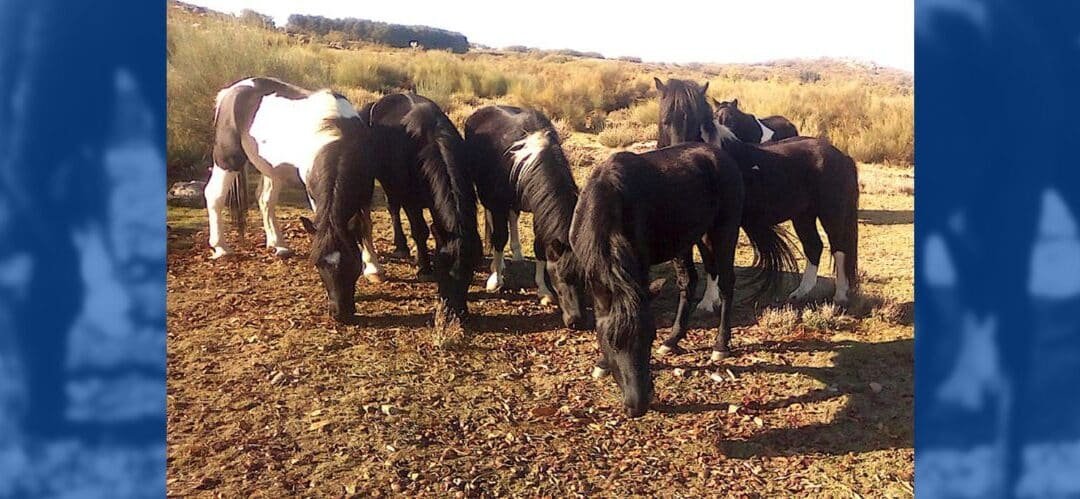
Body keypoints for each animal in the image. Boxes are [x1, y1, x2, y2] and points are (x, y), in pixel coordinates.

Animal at [207, 76, 382, 322]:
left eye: (352, 262)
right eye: (318, 265)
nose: (340, 313)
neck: (339, 137)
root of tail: (229, 92)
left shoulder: (366, 191)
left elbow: (365, 226)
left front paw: (373, 267)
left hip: (271, 169)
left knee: (265, 201)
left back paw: (278, 245)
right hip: (228, 160)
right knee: (214, 196)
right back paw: (221, 248)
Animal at [365, 93, 482, 315]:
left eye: (470, 270)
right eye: (442, 269)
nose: (455, 312)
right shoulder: (411, 202)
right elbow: (420, 231)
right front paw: (424, 268)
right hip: (388, 183)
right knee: (393, 208)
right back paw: (401, 245)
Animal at [463, 105, 589, 329]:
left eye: (584, 279)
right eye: (560, 275)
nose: (576, 320)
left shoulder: (539, 209)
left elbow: (539, 247)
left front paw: (544, 291)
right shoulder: (497, 202)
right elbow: (499, 238)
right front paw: (496, 280)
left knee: (513, 217)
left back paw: (517, 253)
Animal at [570, 142, 787, 417]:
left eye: (650, 337)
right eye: (612, 341)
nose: (638, 405)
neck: (606, 202)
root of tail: (723, 157)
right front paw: (602, 364)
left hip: (722, 232)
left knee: (726, 283)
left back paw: (720, 346)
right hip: (688, 239)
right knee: (689, 281)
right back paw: (673, 340)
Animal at [656, 78, 860, 306]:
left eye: (695, 121)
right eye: (665, 119)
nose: (680, 156)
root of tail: (842, 156)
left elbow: (714, 262)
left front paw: (707, 303)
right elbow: (709, 262)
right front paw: (710, 301)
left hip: (832, 215)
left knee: (840, 248)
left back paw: (840, 296)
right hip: (803, 216)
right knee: (814, 246)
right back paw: (800, 293)